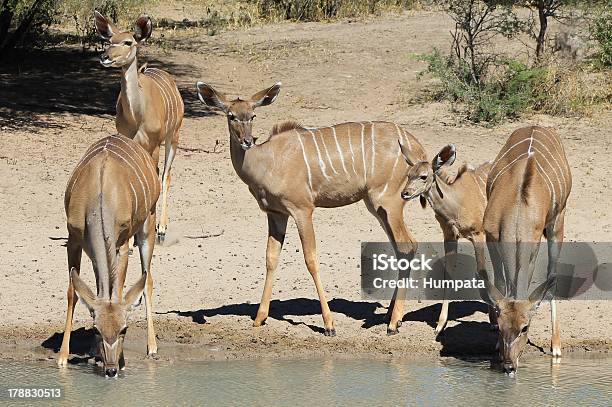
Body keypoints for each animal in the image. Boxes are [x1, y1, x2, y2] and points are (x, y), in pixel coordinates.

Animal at [58, 135, 160, 378]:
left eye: (125, 329)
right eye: (96, 330)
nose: (112, 369)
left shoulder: (121, 243)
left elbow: (120, 290)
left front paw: (122, 361)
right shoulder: (74, 240)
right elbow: (74, 292)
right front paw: (63, 357)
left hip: (147, 223)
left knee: (148, 279)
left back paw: (152, 347)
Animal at [93, 11, 184, 244]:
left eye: (128, 42)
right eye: (109, 40)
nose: (105, 57)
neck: (137, 115)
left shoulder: (154, 144)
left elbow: (158, 177)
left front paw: (153, 230)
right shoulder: (130, 140)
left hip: (173, 137)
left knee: (165, 175)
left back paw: (162, 229)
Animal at [196, 82, 426, 334]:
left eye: (253, 115)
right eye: (231, 116)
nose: (247, 141)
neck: (268, 161)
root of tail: (417, 149)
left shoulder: (302, 209)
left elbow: (310, 259)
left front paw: (329, 324)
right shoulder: (276, 214)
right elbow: (271, 258)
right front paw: (259, 318)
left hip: (388, 201)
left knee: (407, 245)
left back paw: (394, 323)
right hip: (377, 207)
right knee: (403, 247)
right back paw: (391, 316)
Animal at [400, 143, 494, 334]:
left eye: (423, 176)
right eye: (408, 174)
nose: (405, 193)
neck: (457, 204)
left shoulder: (478, 234)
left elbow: (482, 272)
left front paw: (494, 320)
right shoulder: (450, 236)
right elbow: (448, 273)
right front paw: (440, 325)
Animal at [480, 125, 572, 376]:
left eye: (525, 327)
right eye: (500, 328)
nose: (509, 366)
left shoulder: (534, 243)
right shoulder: (491, 236)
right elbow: (501, 283)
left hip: (557, 223)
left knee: (552, 275)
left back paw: (556, 345)